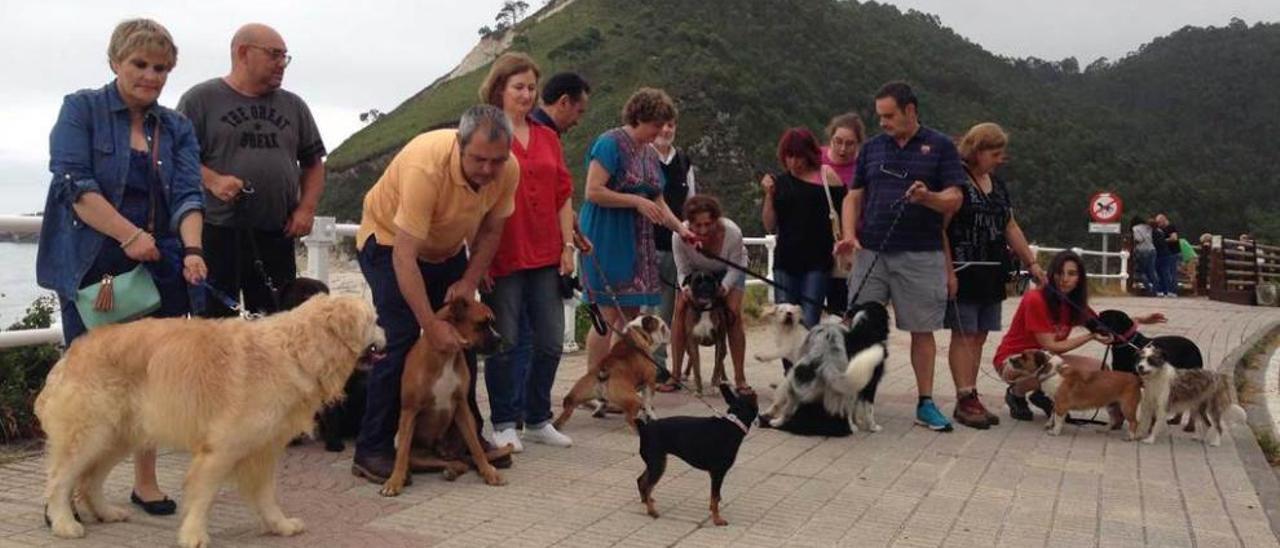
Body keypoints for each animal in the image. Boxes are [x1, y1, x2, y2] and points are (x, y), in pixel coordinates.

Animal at [33, 295, 384, 548]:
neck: (296, 349)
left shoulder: (264, 450)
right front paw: (193, 535)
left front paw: (280, 525)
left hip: (118, 436)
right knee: (59, 480)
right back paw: (64, 524)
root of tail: (71, 353)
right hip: (92, 434)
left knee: (89, 481)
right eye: (374, 320)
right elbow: (203, 495)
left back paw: (106, 513)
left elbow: (266, 495)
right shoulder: (222, 449)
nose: (388, 335)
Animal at [378, 297, 509, 499]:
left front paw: (488, 472)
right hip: (415, 452)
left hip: (464, 426)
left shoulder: (462, 407)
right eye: (481, 324)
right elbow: (401, 456)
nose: (500, 338)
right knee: (446, 461)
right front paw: (394, 482)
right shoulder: (409, 411)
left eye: (492, 323)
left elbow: (476, 448)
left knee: (465, 460)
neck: (447, 355)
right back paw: (445, 470)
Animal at [634, 381, 752, 527]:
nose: (750, 389)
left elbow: (715, 496)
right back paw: (652, 511)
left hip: (655, 462)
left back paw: (646, 501)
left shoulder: (714, 474)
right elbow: (715, 497)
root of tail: (643, 428)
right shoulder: (718, 473)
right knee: (648, 486)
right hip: (658, 464)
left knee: (641, 480)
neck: (734, 423)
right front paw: (717, 519)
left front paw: (712, 510)